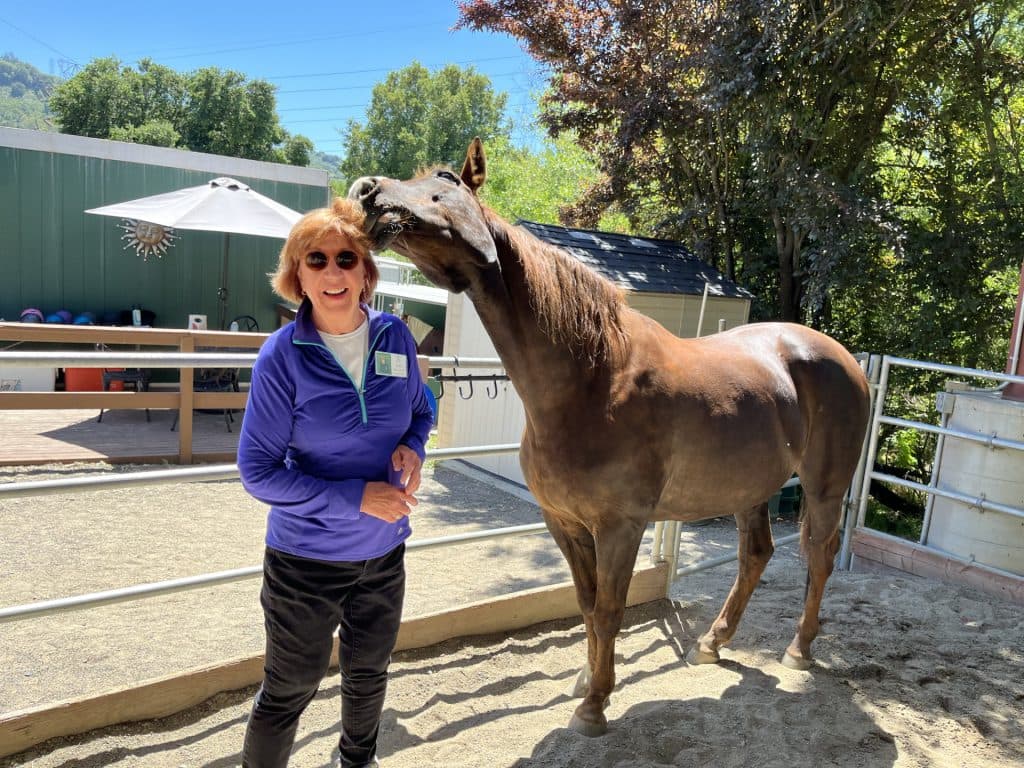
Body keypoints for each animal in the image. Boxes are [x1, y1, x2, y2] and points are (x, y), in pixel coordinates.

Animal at [349, 139, 871, 736]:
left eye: (444, 182)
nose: (366, 192)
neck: (592, 378)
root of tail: (844, 359)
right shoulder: (565, 522)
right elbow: (586, 603)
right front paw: (586, 680)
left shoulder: (621, 526)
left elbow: (608, 610)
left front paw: (595, 704)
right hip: (751, 489)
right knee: (755, 556)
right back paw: (712, 643)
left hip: (824, 489)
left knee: (819, 556)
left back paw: (799, 650)